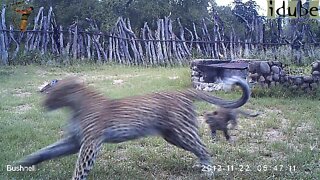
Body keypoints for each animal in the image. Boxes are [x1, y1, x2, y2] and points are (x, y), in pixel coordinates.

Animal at [17, 76, 251, 179]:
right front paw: (23, 163)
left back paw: (208, 172)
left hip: (182, 133)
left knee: (204, 148)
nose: (43, 103)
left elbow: (80, 168)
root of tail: (182, 91)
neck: (75, 105)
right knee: (200, 148)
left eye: (51, 91)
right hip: (173, 135)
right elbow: (47, 151)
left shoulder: (90, 143)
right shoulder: (75, 141)